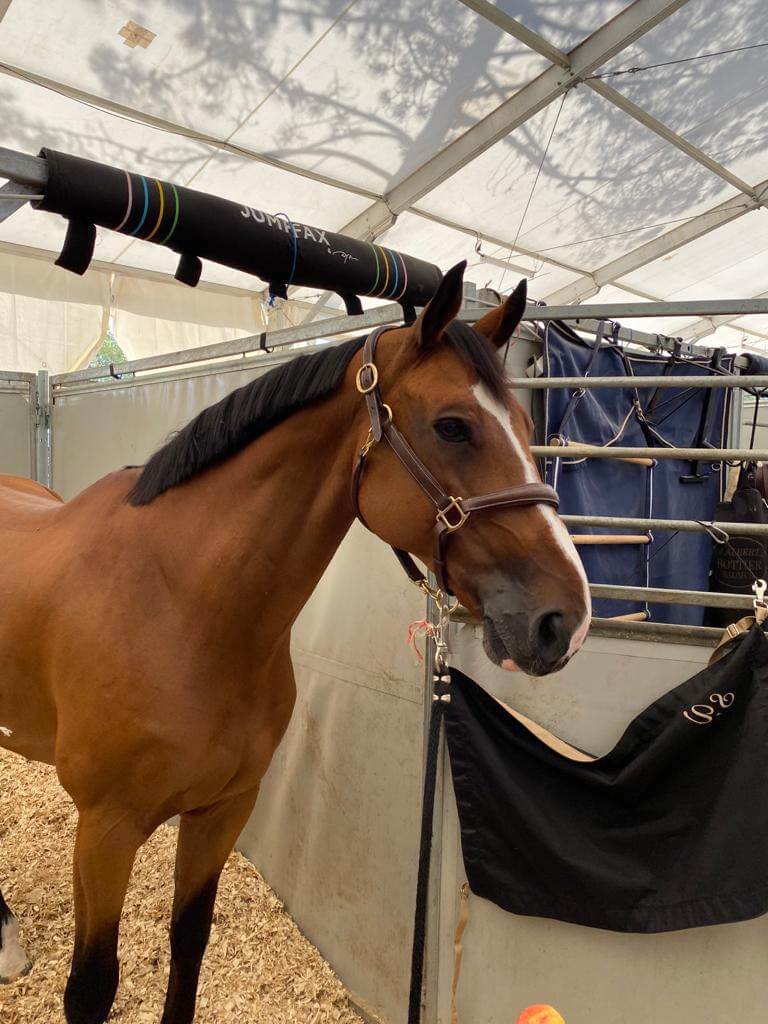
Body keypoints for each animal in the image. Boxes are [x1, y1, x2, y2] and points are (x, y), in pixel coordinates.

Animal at [0, 260, 589, 1019]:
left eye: (522, 422)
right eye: (453, 427)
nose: (566, 618)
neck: (182, 606)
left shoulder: (224, 810)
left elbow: (189, 943)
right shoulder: (104, 828)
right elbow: (91, 987)